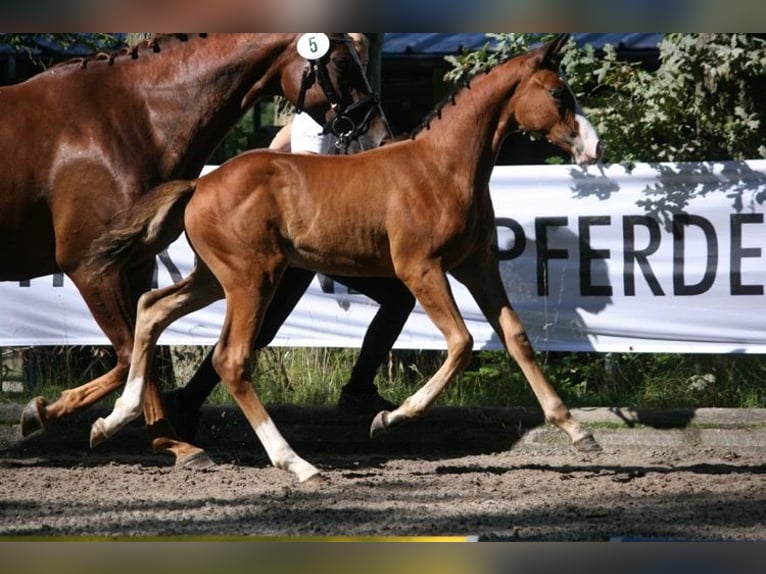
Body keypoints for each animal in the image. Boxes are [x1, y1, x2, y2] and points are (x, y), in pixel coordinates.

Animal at [3, 32, 390, 468]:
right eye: (341, 62)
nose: (379, 134)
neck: (127, 123)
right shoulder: (90, 268)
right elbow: (129, 354)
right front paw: (46, 414)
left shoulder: (136, 263)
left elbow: (144, 346)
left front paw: (169, 441)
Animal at [90, 35, 604, 486]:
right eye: (558, 93)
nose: (593, 148)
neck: (443, 167)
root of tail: (201, 183)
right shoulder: (420, 268)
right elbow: (461, 343)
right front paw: (390, 419)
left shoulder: (476, 265)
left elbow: (516, 336)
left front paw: (579, 431)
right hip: (252, 280)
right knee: (230, 359)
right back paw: (298, 464)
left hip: (216, 279)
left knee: (152, 308)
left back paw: (113, 421)